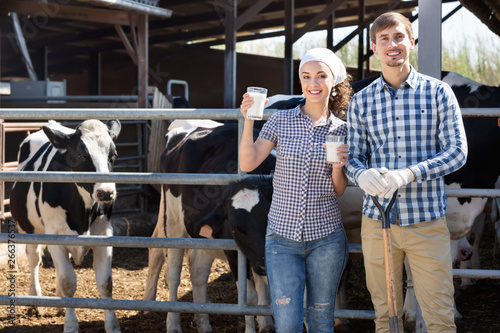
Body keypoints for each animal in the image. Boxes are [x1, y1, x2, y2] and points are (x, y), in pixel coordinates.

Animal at [9, 119, 121, 332]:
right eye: (80, 154)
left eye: (113, 155)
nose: (106, 192)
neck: (82, 214)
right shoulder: (54, 236)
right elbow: (68, 281)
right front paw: (70, 325)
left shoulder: (104, 234)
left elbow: (106, 283)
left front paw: (113, 326)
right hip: (29, 229)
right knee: (34, 260)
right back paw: (35, 301)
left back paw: (59, 303)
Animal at [143, 119, 276, 332]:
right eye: (235, 228)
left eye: (268, 221)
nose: (263, 264)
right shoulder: (235, 251)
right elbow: (249, 297)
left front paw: (267, 324)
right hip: (173, 223)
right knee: (172, 272)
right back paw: (172, 323)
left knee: (198, 272)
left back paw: (203, 322)